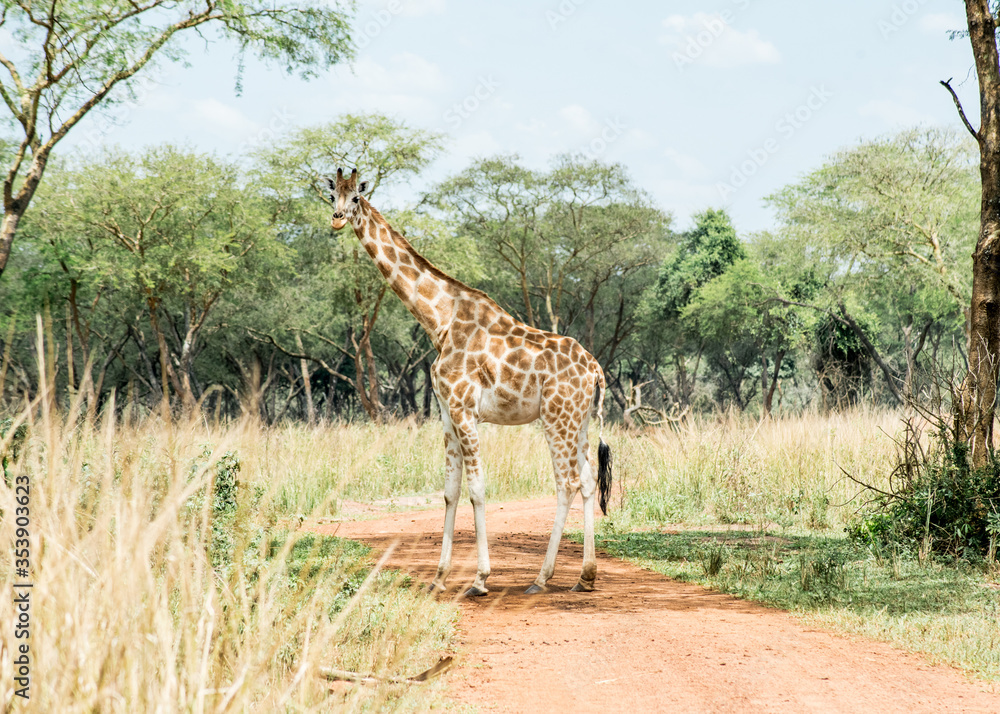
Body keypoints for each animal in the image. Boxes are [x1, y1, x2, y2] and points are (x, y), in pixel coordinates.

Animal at [327, 168, 613, 595]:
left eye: (357, 198)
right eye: (332, 197)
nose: (337, 219)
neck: (440, 321)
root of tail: (594, 368)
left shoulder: (464, 408)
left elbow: (477, 489)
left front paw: (479, 579)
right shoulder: (447, 413)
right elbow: (450, 491)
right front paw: (439, 577)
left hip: (556, 419)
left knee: (565, 483)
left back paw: (541, 578)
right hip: (578, 422)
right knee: (589, 480)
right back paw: (585, 576)